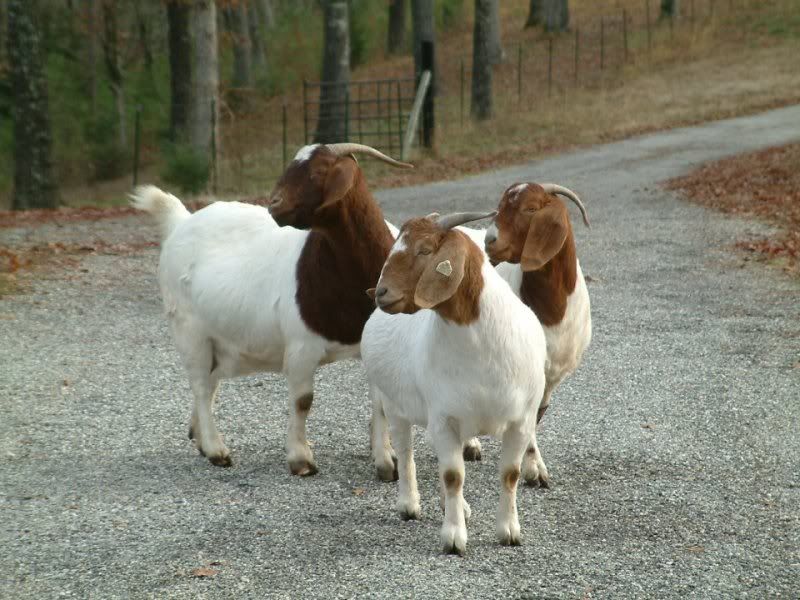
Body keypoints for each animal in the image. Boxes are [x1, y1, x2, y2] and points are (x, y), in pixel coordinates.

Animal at [131, 143, 410, 476]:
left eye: (318, 171)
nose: (274, 204)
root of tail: (180, 221)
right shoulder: (301, 346)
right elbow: (303, 400)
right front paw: (301, 459)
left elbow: (380, 403)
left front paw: (386, 462)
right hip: (188, 328)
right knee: (200, 386)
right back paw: (216, 450)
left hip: (219, 338)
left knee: (209, 384)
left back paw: (198, 436)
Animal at [361, 211, 548, 555]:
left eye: (424, 250)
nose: (381, 293)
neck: (482, 348)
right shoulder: (444, 417)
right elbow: (452, 476)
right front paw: (453, 537)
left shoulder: (521, 420)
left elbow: (510, 474)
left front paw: (509, 531)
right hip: (395, 404)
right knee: (405, 451)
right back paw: (409, 504)